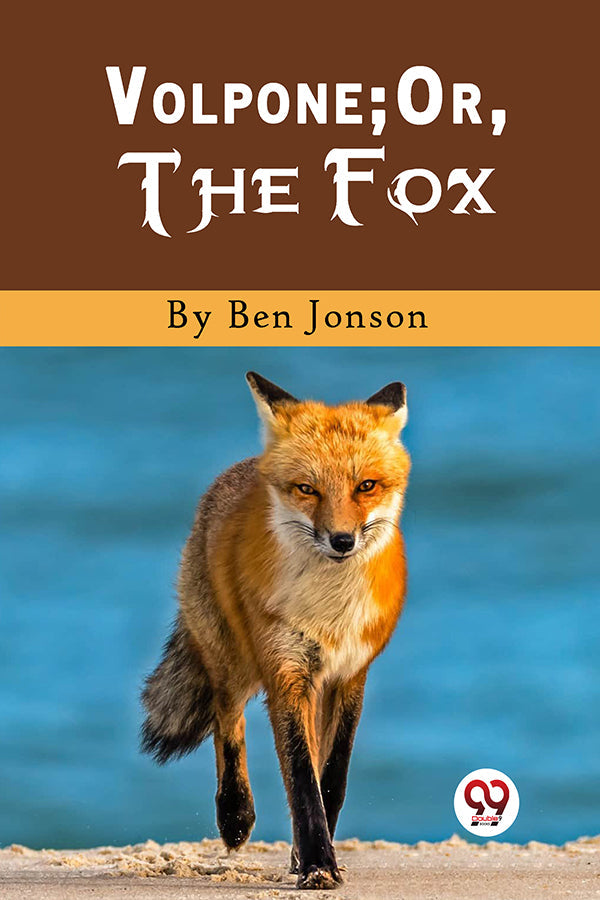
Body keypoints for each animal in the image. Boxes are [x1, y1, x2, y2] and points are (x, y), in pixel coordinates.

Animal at [141, 372, 410, 890]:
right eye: (307, 489)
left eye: (366, 486)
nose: (342, 540)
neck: (330, 612)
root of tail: (239, 470)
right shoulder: (286, 672)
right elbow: (302, 781)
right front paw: (318, 864)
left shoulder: (351, 675)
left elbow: (331, 778)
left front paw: (310, 857)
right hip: (233, 659)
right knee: (227, 718)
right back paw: (235, 815)